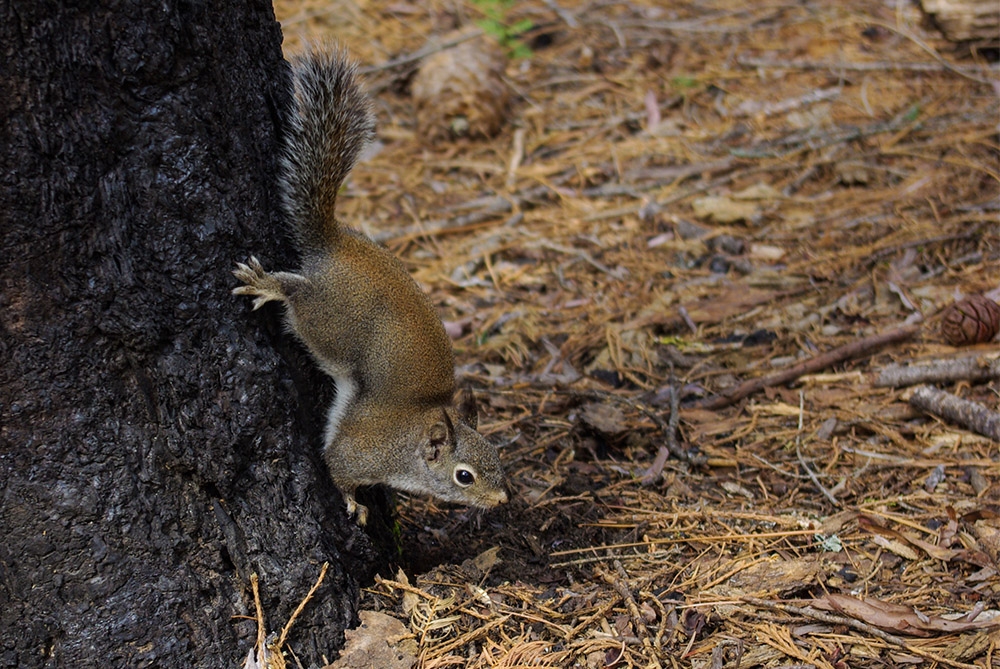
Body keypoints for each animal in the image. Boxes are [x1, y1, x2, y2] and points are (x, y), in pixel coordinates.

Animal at [230, 48, 504, 528]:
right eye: (464, 476)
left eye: (497, 456)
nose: (503, 499)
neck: (411, 438)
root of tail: (334, 241)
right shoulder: (361, 453)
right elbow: (337, 467)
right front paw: (355, 502)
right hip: (328, 322)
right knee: (299, 297)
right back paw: (269, 285)